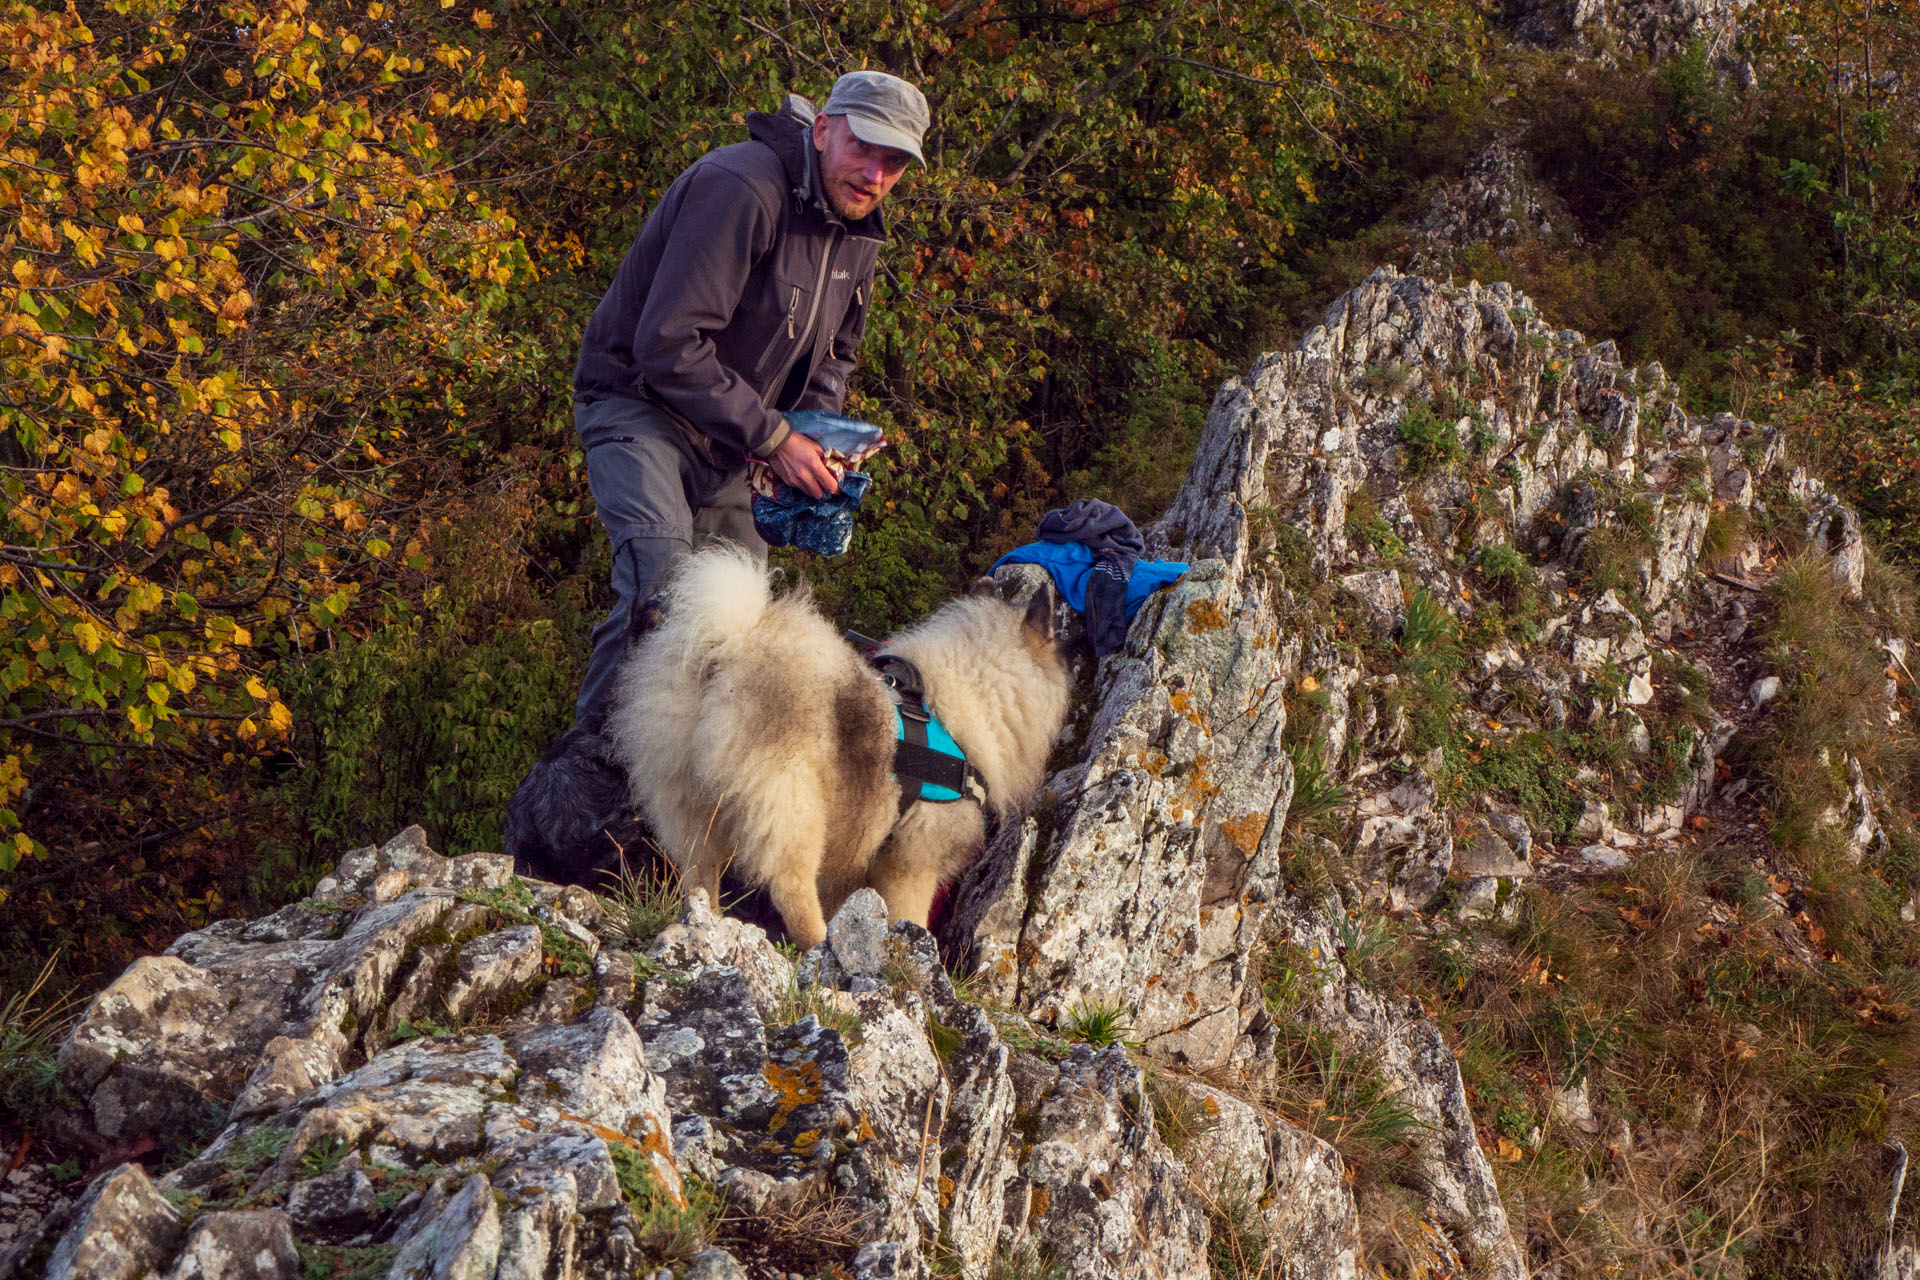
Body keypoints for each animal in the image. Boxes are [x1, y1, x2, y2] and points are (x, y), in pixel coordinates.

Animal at [606, 545, 1075, 948]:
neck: (963, 703)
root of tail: (728, 646)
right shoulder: (912, 859)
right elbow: (909, 913)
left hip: (689, 806)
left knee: (699, 875)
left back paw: (709, 922)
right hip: (792, 801)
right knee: (790, 884)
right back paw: (816, 942)